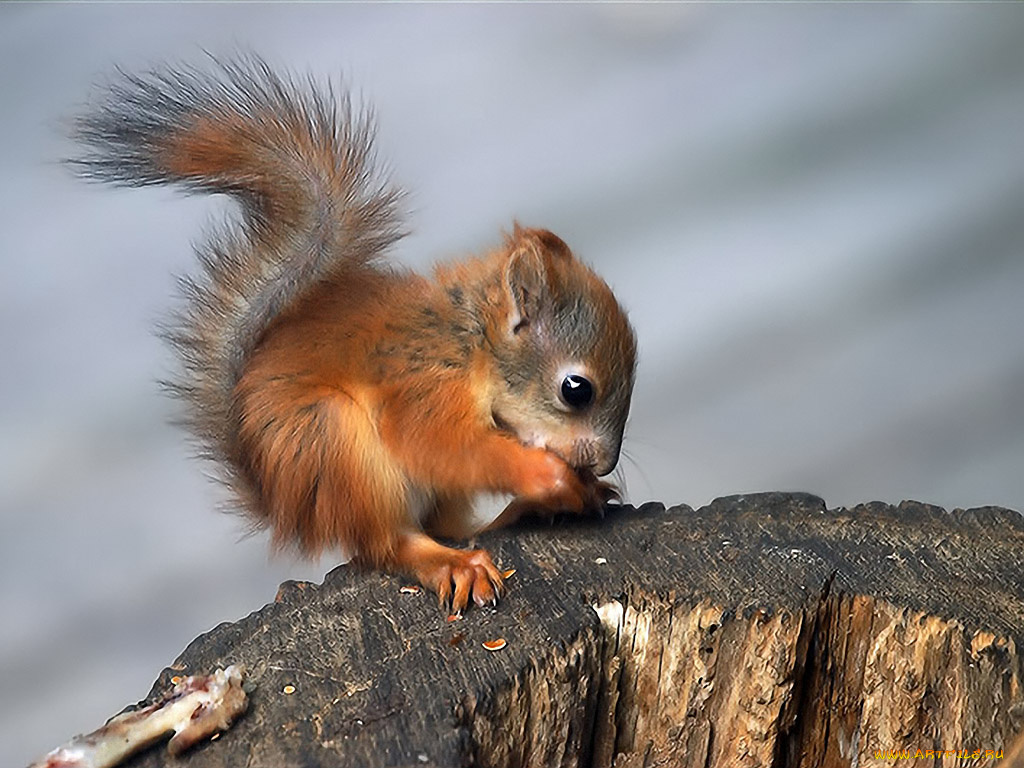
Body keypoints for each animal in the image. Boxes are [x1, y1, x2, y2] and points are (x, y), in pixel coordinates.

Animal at [72, 57, 634, 618]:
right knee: (388, 544)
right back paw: (454, 562)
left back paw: (520, 514)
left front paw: (580, 487)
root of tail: (288, 508)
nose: (604, 461)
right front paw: (547, 475)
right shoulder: (421, 386)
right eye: (576, 389)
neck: (472, 346)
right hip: (334, 442)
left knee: (450, 526)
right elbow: (442, 447)